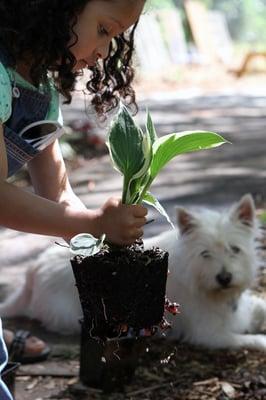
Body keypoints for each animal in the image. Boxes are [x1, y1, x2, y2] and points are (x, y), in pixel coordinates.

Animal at [1, 195, 266, 350]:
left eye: (235, 249)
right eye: (205, 254)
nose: (224, 278)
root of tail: (32, 270)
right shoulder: (209, 333)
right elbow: (250, 339)